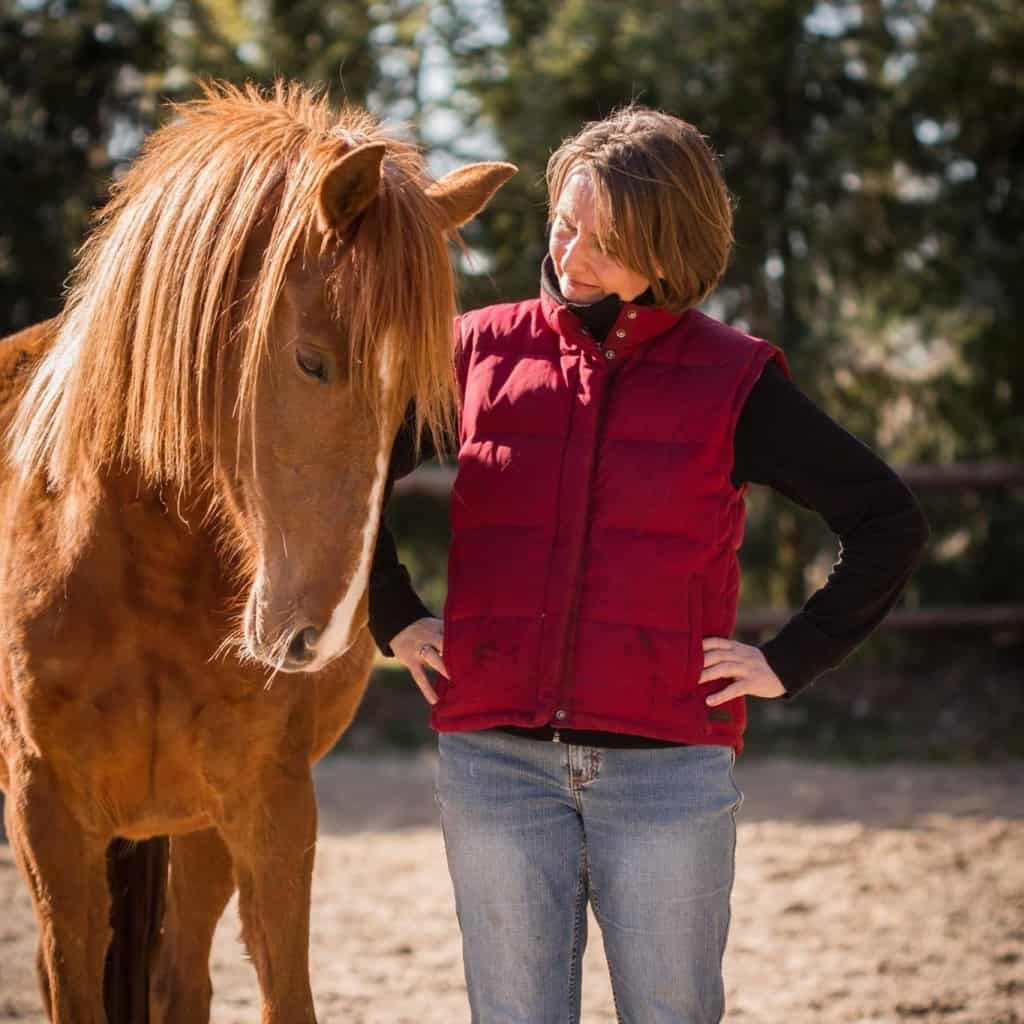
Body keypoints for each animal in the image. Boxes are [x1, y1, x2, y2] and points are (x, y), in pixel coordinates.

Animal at [0, 80, 513, 1024]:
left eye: (413, 411)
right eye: (311, 362)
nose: (322, 635)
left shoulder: (269, 807)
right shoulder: (47, 816)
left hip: (196, 829)